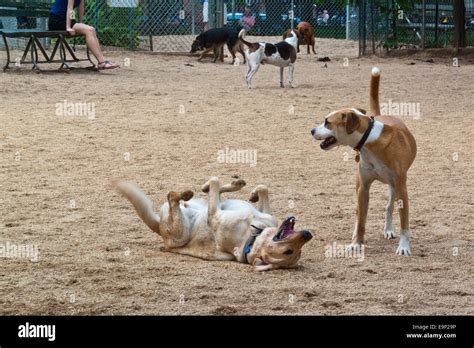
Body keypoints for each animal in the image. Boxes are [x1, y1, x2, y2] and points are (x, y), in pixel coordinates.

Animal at [312, 66, 418, 254]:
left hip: (394, 186)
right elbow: (361, 219)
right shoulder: (363, 187)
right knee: (358, 212)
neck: (370, 141)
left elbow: (404, 221)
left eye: (327, 122)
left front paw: (404, 247)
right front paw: (356, 243)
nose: (311, 131)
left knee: (389, 207)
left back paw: (388, 230)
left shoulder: (401, 188)